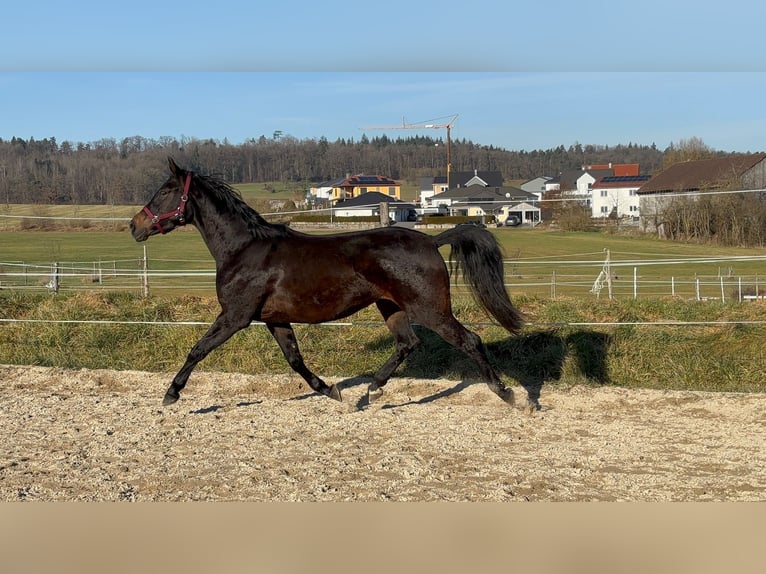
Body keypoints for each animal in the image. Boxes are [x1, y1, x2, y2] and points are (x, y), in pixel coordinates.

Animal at [131, 158, 528, 410]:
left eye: (164, 191)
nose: (136, 225)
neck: (244, 248)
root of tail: (431, 241)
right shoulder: (275, 319)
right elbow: (295, 360)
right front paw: (330, 390)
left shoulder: (235, 316)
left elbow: (197, 350)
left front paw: (171, 394)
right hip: (391, 306)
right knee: (408, 344)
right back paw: (369, 393)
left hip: (429, 308)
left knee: (469, 340)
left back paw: (510, 396)